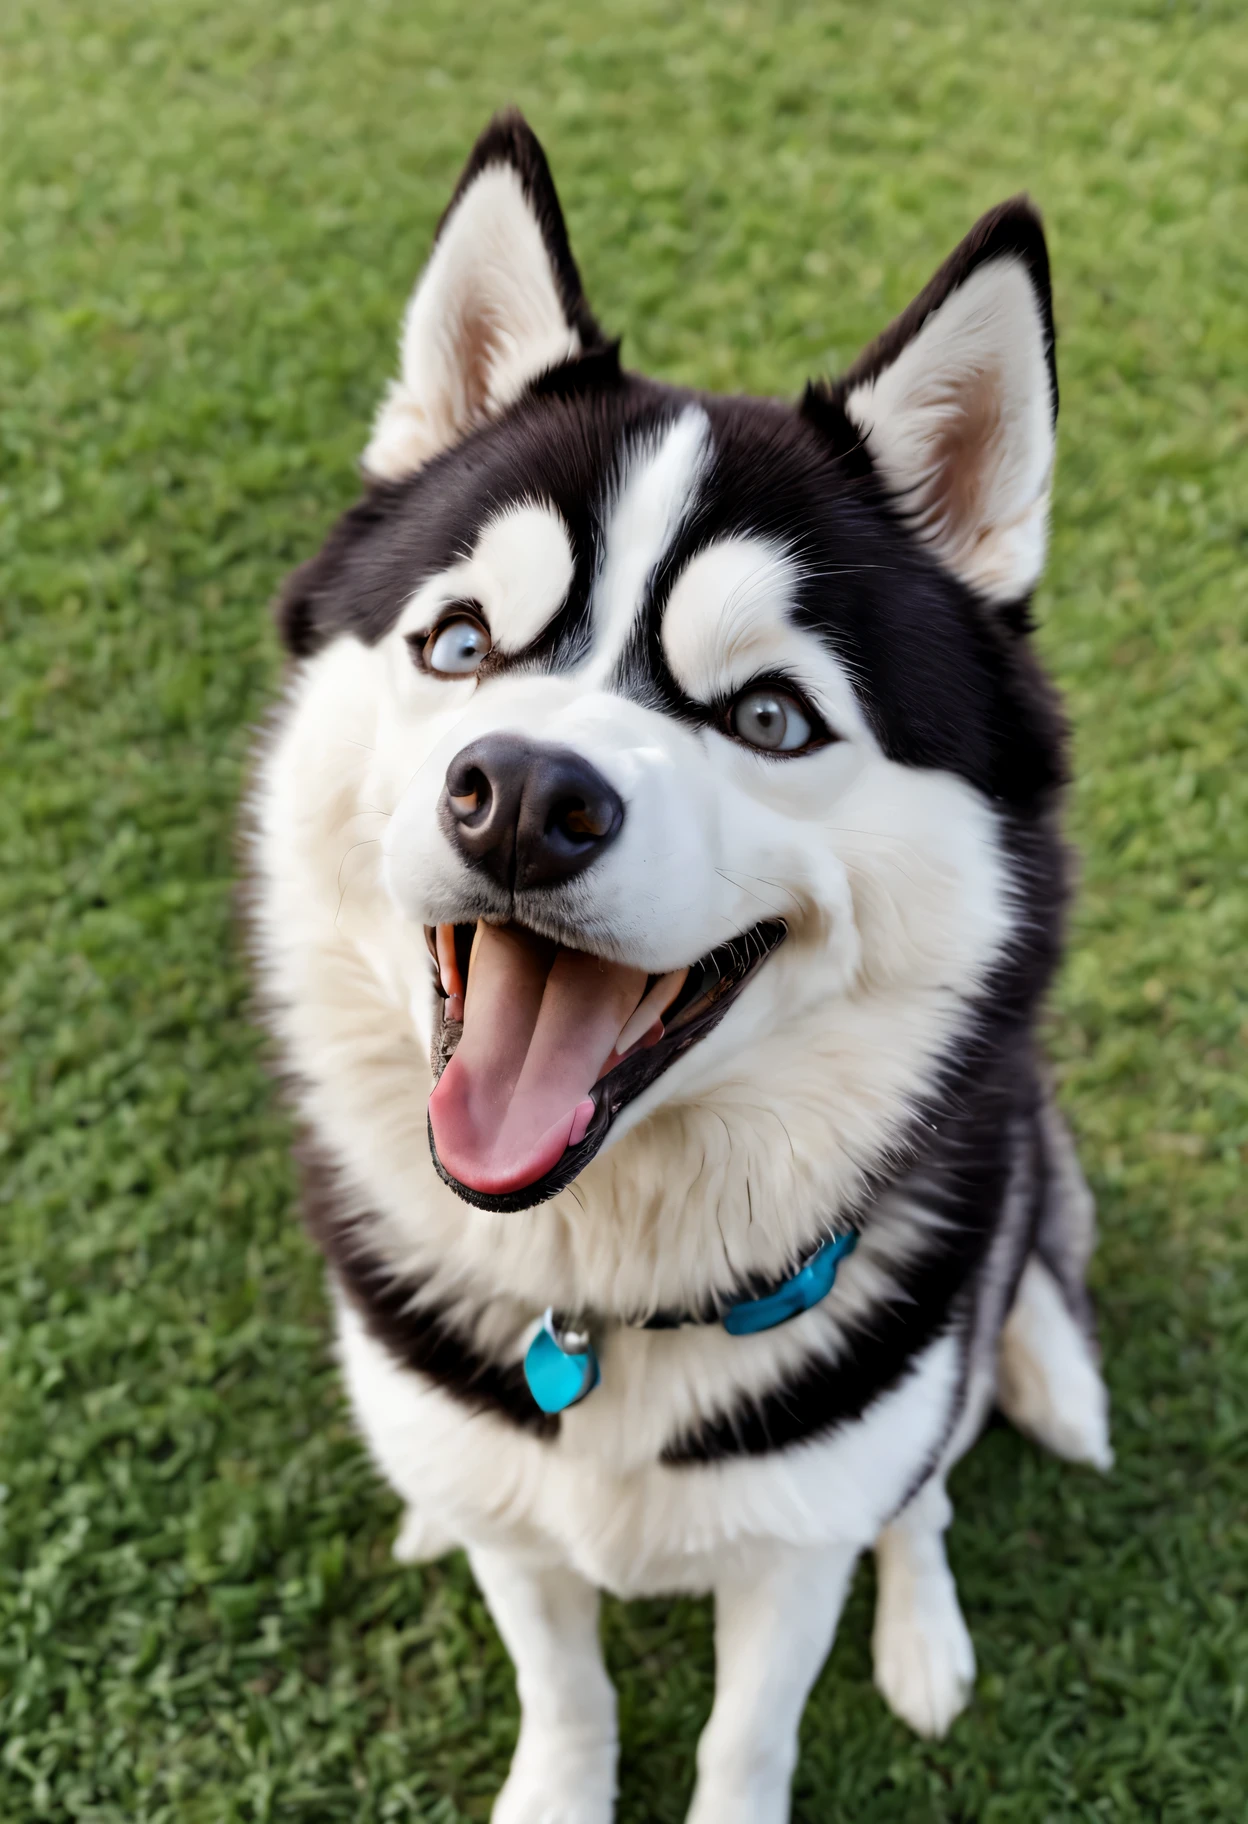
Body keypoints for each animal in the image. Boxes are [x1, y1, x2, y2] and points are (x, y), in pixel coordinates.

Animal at [251, 117, 1109, 1824]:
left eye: (770, 716)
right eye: (461, 644)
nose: (522, 796)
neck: (604, 1296)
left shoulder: (795, 1554)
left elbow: (748, 1727)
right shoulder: (528, 1538)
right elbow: (565, 1685)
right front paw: (556, 1784)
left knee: (924, 1491)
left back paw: (928, 1636)